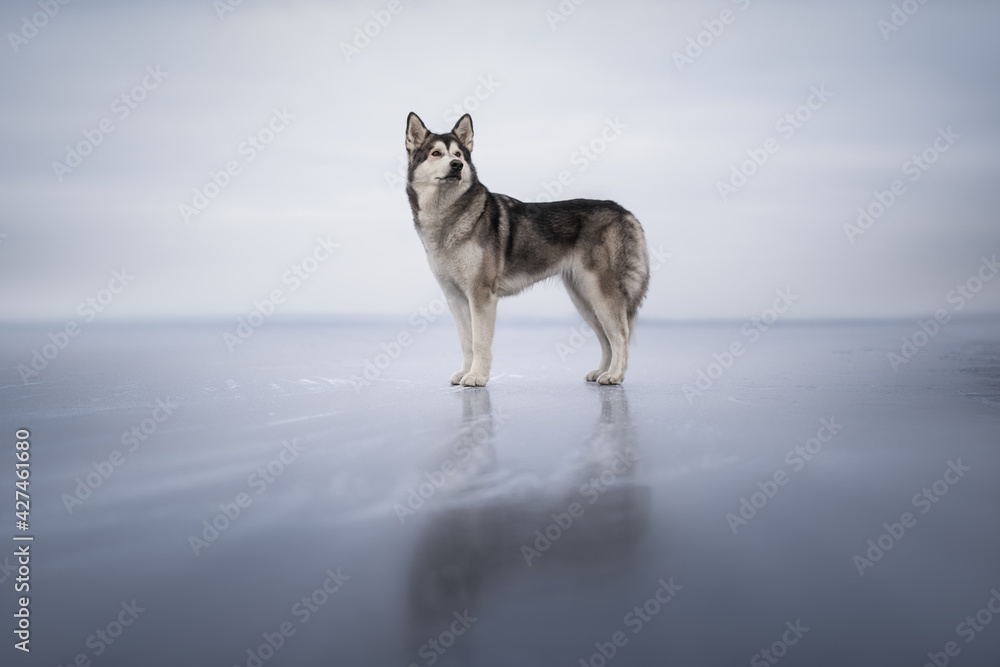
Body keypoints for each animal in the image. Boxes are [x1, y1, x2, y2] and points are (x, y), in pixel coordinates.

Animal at [404, 112, 649, 386]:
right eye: (436, 153)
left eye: (458, 154)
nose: (457, 166)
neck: (449, 216)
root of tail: (625, 212)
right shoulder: (455, 298)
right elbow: (466, 342)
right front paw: (464, 372)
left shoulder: (481, 296)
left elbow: (479, 342)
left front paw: (477, 376)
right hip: (584, 299)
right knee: (606, 338)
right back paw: (601, 371)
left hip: (601, 295)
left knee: (620, 335)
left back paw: (615, 375)